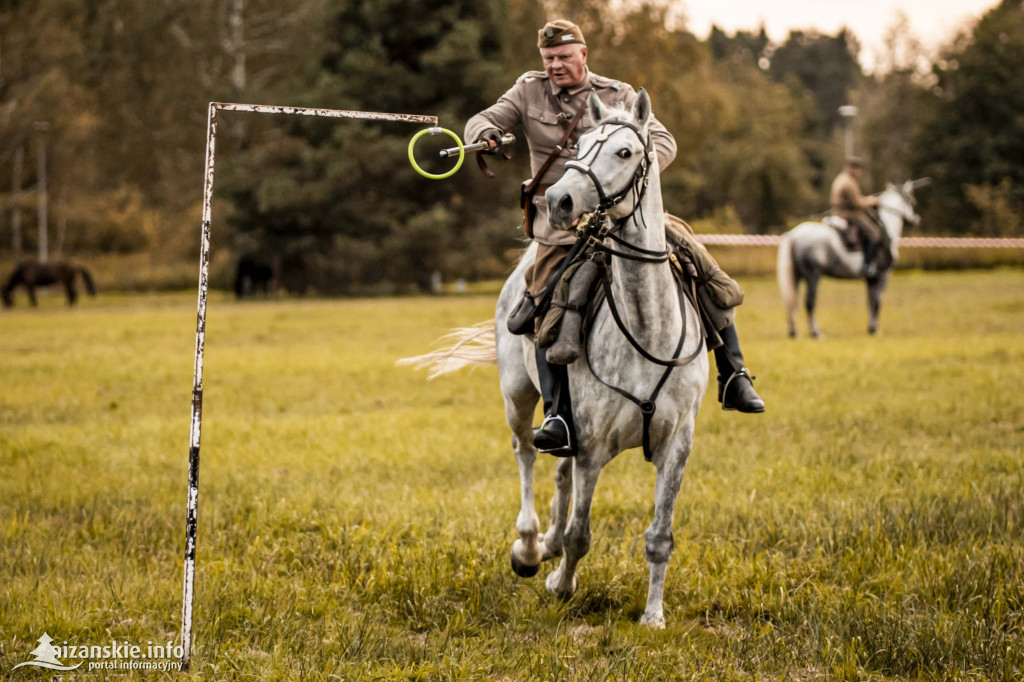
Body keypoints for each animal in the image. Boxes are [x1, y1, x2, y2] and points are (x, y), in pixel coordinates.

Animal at [403, 90, 708, 626]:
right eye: (579, 146)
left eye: (625, 152)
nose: (559, 201)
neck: (647, 330)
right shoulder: (594, 448)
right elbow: (580, 534)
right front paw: (561, 584)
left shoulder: (676, 446)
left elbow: (659, 537)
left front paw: (653, 615)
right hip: (517, 394)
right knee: (526, 452)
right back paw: (529, 548)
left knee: (558, 472)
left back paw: (543, 544)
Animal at [774, 180, 929, 337]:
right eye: (912, 201)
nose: (917, 219)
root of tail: (793, 234)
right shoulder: (882, 274)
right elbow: (877, 302)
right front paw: (875, 329)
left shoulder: (871, 278)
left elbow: (870, 302)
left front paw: (871, 327)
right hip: (813, 274)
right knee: (809, 302)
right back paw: (816, 332)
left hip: (797, 275)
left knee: (791, 300)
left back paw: (794, 332)